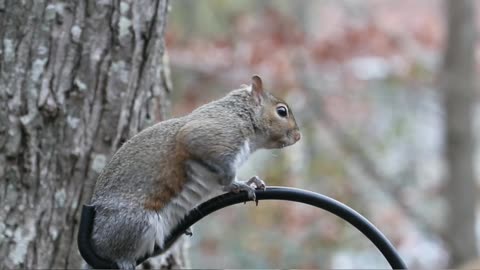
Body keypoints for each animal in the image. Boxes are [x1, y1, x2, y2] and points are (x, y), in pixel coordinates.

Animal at [88, 75, 302, 268]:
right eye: (282, 111)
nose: (298, 136)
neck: (243, 115)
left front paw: (250, 181)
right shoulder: (218, 134)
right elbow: (222, 171)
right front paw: (240, 184)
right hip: (134, 224)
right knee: (117, 251)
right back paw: (122, 260)